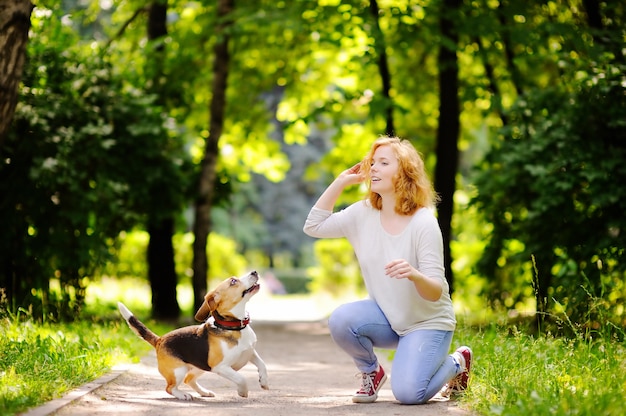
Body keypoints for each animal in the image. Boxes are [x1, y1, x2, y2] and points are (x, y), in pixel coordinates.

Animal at [118, 270, 266, 400]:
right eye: (233, 281)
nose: (254, 272)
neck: (235, 326)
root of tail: (160, 339)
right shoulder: (220, 367)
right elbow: (241, 378)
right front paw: (243, 391)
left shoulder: (250, 353)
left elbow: (262, 364)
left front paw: (263, 381)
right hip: (179, 370)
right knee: (170, 388)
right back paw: (183, 395)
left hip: (199, 367)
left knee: (188, 380)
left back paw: (204, 392)